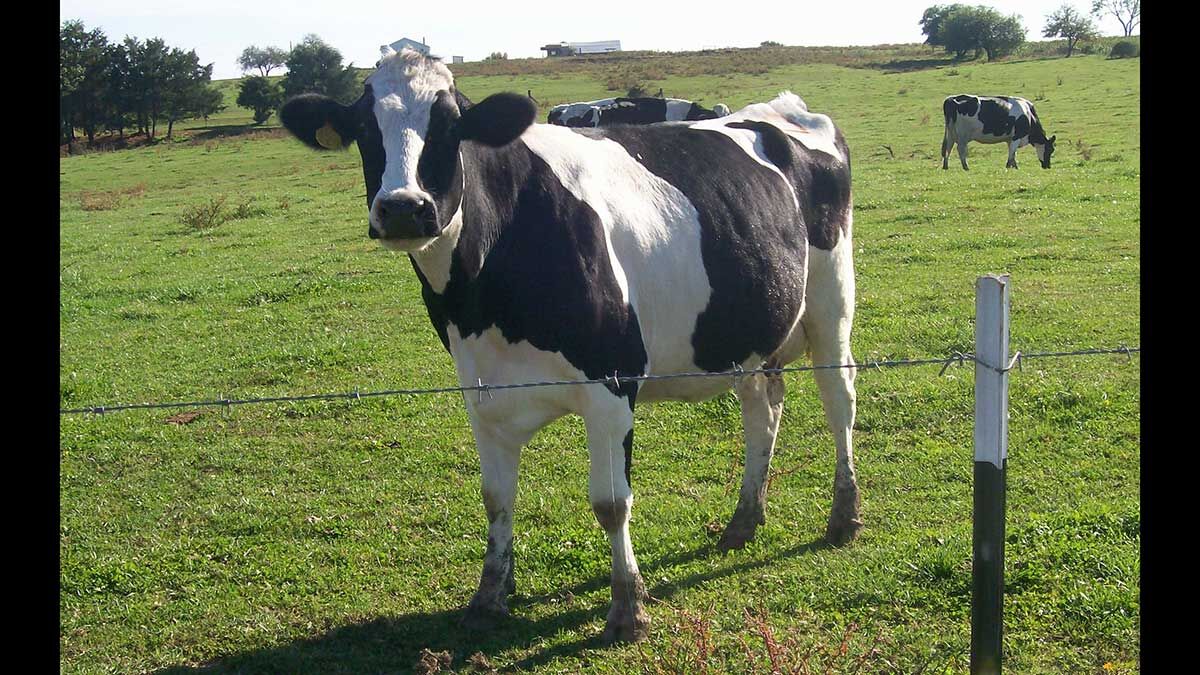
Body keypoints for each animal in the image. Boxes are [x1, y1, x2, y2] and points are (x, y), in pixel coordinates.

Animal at [279, 47, 858, 644]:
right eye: (364, 130)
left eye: (451, 126)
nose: (402, 207)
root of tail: (781, 108)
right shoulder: (481, 390)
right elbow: (496, 498)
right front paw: (488, 596)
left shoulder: (612, 381)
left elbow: (611, 502)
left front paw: (627, 608)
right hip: (748, 333)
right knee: (762, 410)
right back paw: (743, 521)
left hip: (831, 299)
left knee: (839, 397)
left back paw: (843, 517)